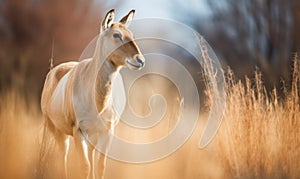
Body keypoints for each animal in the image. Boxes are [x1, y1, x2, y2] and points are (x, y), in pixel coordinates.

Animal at [39, 9, 145, 179]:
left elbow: (100, 166)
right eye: (116, 35)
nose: (140, 60)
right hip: (56, 130)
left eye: (131, 34)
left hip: (91, 137)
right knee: (63, 156)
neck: (97, 101)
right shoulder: (78, 131)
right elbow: (85, 166)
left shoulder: (107, 132)